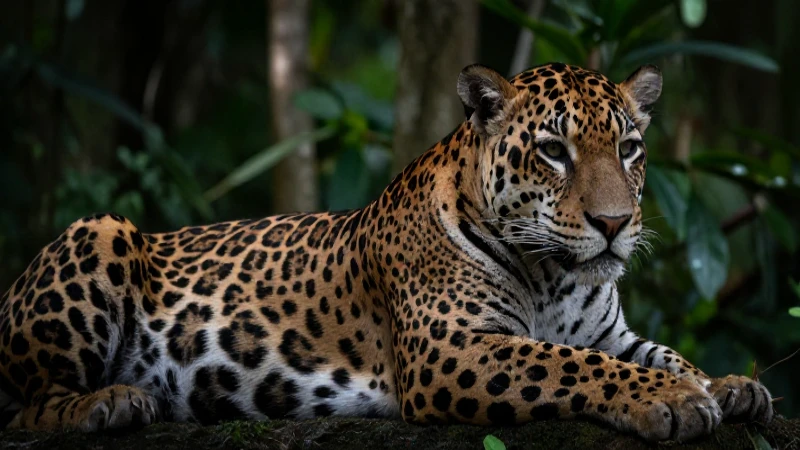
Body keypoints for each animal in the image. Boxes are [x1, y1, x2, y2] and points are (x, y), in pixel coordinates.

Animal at [0, 62, 773, 442]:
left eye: (630, 148)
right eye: (554, 151)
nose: (614, 224)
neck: (555, 277)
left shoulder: (610, 332)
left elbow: (655, 352)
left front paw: (728, 385)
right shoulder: (450, 348)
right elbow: (567, 365)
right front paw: (674, 400)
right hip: (99, 230)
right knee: (27, 408)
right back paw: (115, 403)